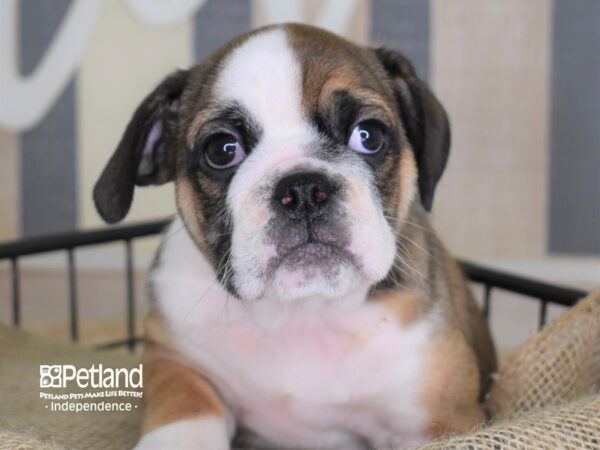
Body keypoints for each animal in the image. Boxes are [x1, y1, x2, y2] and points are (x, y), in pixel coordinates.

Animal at [94, 23, 496, 450]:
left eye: (368, 136)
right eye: (222, 150)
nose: (303, 189)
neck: (303, 312)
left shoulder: (443, 417)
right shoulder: (174, 361)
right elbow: (185, 409)